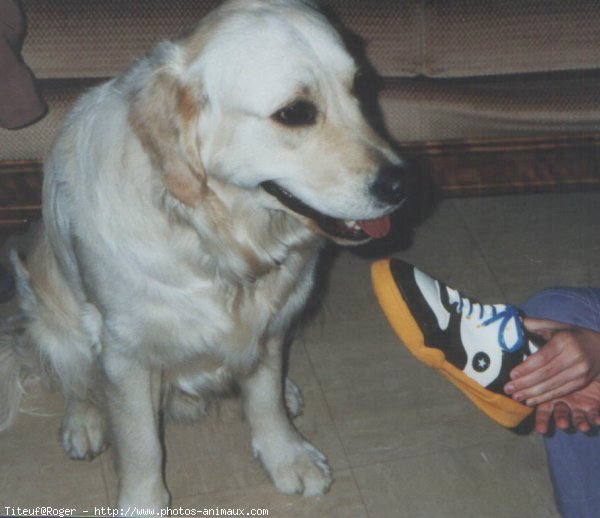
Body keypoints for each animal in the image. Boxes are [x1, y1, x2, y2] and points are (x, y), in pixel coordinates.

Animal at [0, 0, 410, 512]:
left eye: (360, 88)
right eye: (295, 113)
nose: (401, 185)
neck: (217, 237)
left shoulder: (272, 321)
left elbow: (264, 399)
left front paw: (287, 456)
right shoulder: (124, 349)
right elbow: (140, 443)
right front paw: (143, 503)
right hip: (49, 306)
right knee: (72, 375)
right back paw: (83, 422)